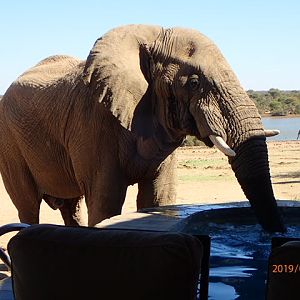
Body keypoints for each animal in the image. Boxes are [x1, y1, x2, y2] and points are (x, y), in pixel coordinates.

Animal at [0, 25, 284, 232]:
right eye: (194, 82)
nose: (275, 233)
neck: (151, 36)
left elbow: (157, 197)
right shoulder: (93, 125)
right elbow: (105, 202)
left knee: (71, 207)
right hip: (10, 142)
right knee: (28, 205)